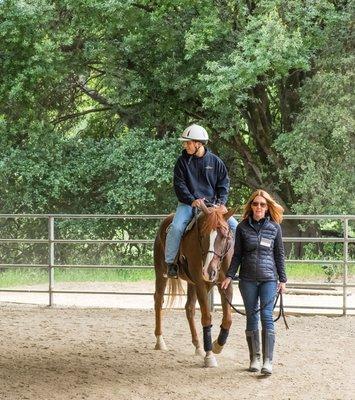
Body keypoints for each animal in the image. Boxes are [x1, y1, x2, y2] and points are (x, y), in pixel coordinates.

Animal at [154, 203, 235, 368]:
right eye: (202, 235)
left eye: (224, 236)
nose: (209, 271)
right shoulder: (200, 282)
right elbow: (206, 317)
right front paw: (210, 357)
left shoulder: (225, 284)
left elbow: (228, 319)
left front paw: (217, 345)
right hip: (161, 272)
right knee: (158, 301)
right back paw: (160, 341)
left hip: (194, 283)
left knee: (189, 308)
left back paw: (198, 346)